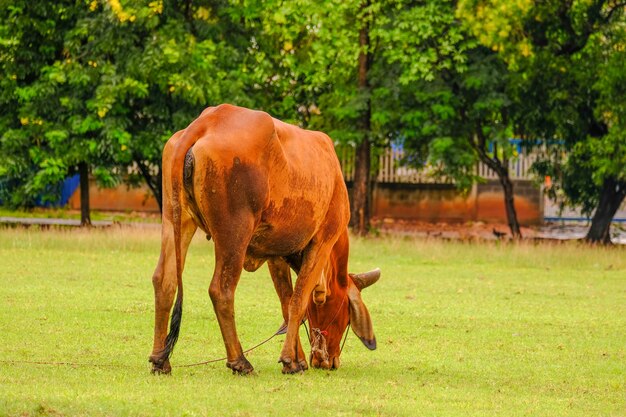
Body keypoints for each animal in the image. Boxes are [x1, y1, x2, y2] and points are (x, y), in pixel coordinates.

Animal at [149, 104, 378, 374]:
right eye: (347, 314)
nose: (329, 360)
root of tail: (208, 120)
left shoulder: (275, 254)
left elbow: (286, 303)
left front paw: (297, 360)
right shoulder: (323, 240)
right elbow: (298, 301)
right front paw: (290, 359)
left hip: (176, 219)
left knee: (165, 280)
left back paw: (160, 359)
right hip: (234, 234)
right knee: (221, 290)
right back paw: (239, 361)